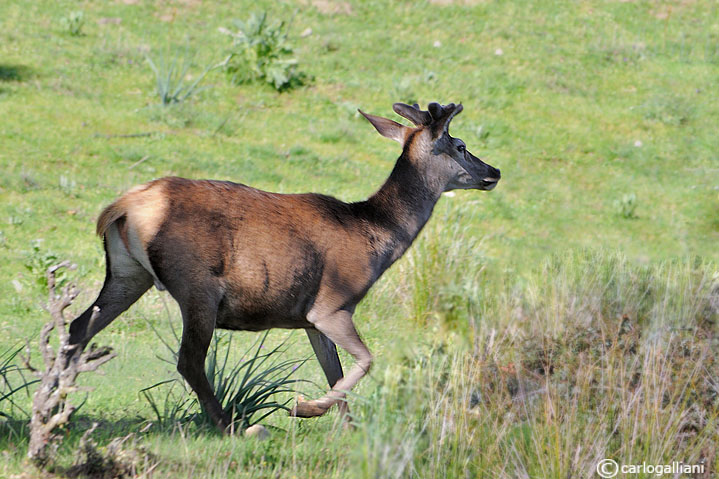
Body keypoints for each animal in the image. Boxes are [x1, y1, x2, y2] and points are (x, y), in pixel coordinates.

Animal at [70, 101, 504, 432]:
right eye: (461, 145)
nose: (494, 171)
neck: (375, 239)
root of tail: (121, 207)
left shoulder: (308, 318)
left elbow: (335, 370)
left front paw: (347, 429)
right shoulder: (333, 304)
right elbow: (366, 360)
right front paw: (303, 407)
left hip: (128, 273)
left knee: (79, 326)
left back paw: (63, 403)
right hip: (197, 285)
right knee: (188, 360)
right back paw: (234, 426)